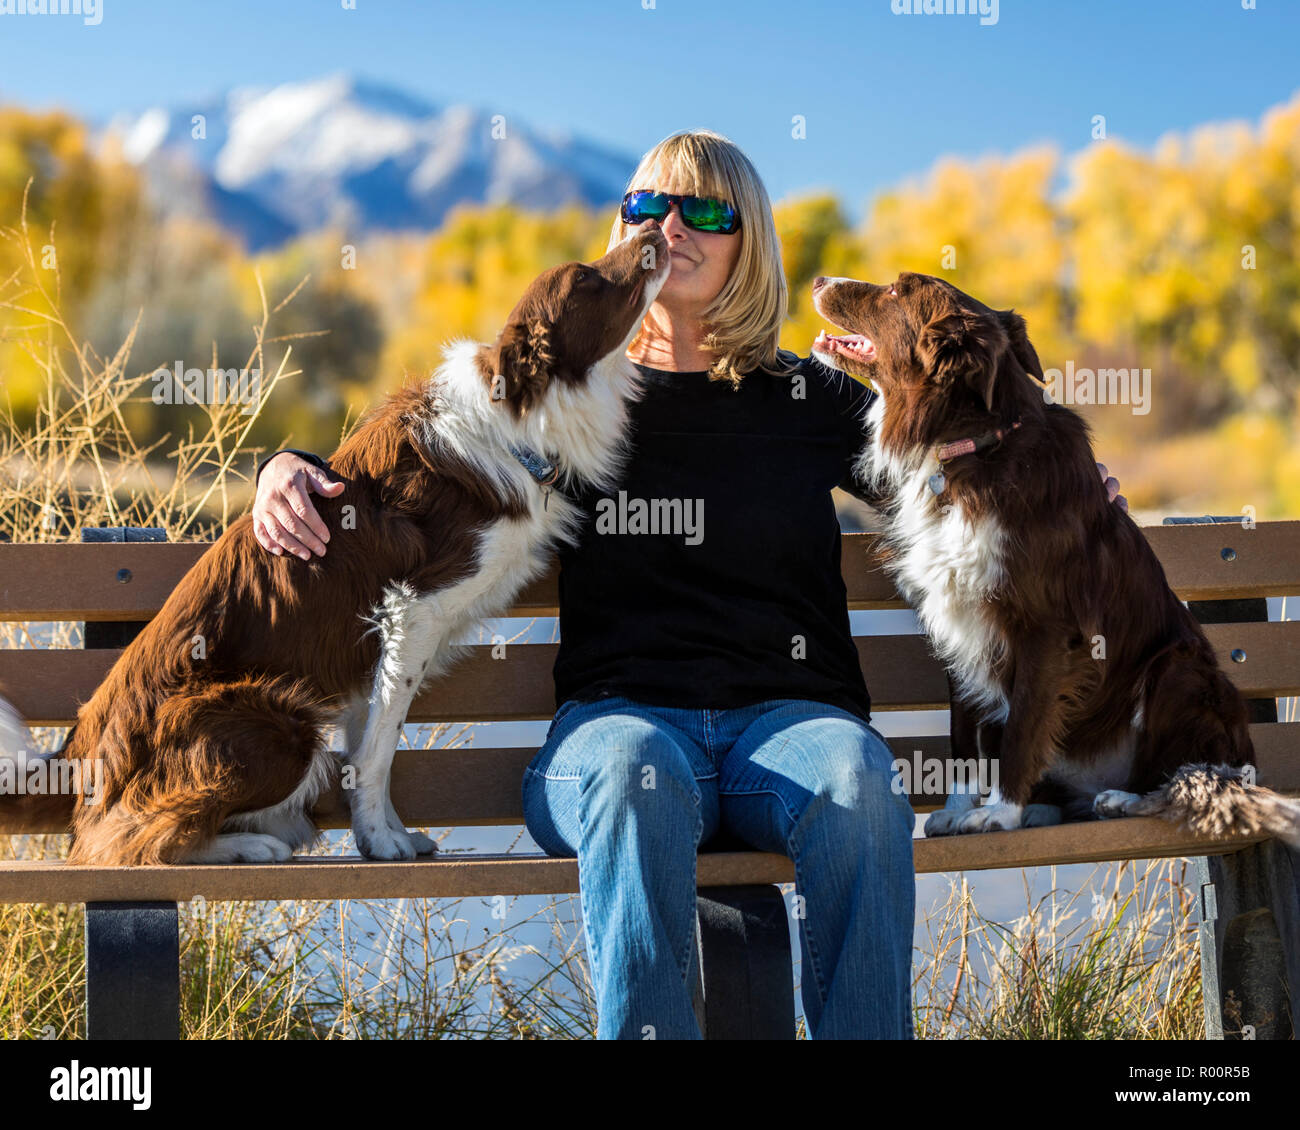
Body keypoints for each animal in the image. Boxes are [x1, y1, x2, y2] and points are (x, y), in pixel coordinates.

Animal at [0, 224, 670, 868]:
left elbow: (368, 737)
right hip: (278, 719)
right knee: (127, 838)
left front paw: (385, 833)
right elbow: (378, 751)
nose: (654, 232)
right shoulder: (413, 609)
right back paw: (250, 846)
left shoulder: (371, 641)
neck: (513, 425)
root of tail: (82, 749)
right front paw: (380, 840)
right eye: (587, 279)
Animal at [811, 269, 1300, 842]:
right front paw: (958, 808)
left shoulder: (1047, 628)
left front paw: (1000, 811)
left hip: (1178, 671)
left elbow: (1021, 727)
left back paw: (1123, 799)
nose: (819, 279)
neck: (972, 446)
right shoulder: (957, 619)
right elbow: (963, 731)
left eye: (895, 290)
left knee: (1189, 777)